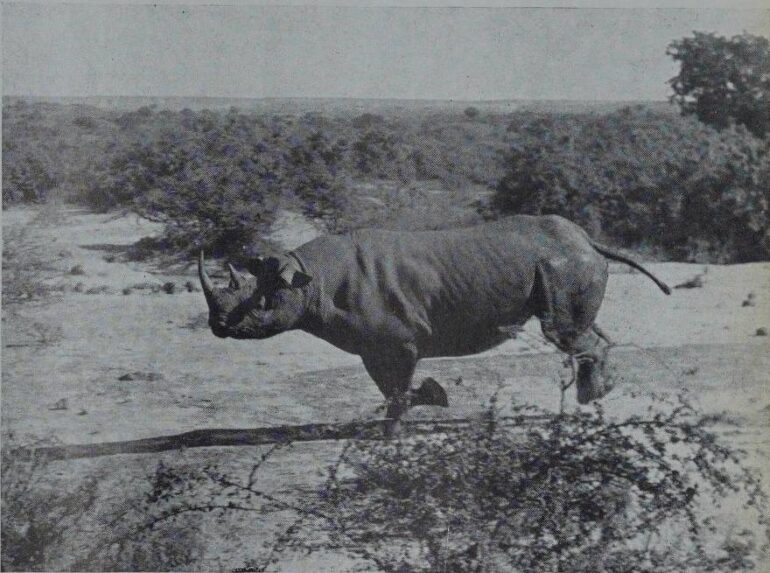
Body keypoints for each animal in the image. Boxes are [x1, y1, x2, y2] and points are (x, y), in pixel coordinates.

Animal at [198, 215, 670, 430]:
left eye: (260, 304)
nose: (218, 326)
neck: (309, 278)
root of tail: (587, 240)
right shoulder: (373, 345)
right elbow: (389, 386)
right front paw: (426, 403)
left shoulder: (400, 340)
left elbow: (398, 386)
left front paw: (393, 430)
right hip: (566, 264)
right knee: (579, 331)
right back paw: (597, 394)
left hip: (564, 265)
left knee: (561, 331)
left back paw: (591, 399)